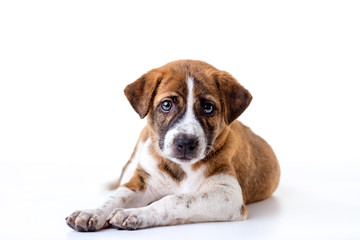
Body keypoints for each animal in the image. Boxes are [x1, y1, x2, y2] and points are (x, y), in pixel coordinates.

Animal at [65, 59, 282, 231]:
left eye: (208, 107)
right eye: (167, 104)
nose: (185, 143)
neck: (181, 169)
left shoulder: (228, 194)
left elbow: (177, 200)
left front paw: (133, 214)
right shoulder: (143, 182)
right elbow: (116, 197)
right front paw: (92, 212)